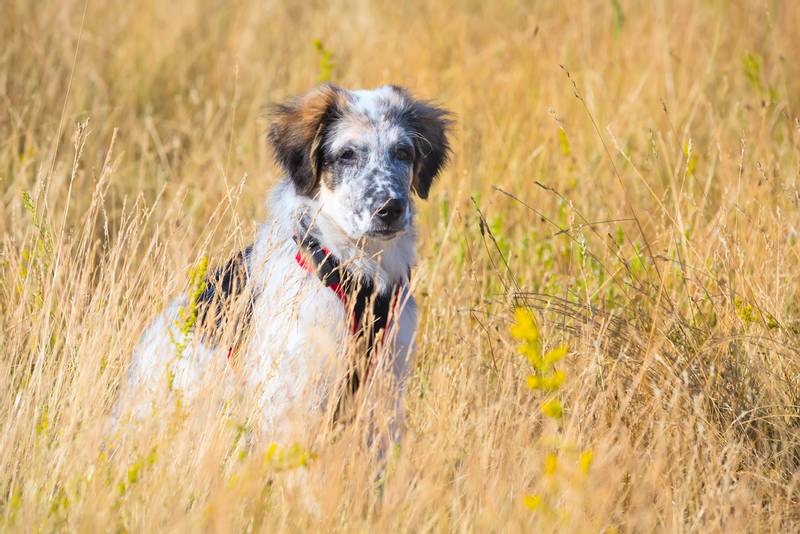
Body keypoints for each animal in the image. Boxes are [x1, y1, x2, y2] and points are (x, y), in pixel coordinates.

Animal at [122, 85, 454, 448]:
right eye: (347, 154)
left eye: (403, 152)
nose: (390, 209)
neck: (356, 274)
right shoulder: (291, 393)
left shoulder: (385, 387)